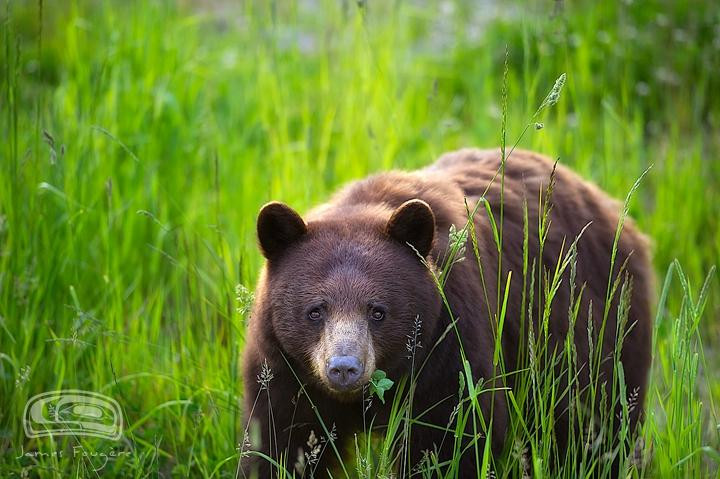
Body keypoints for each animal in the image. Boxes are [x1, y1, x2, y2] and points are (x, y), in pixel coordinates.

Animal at [240, 148, 652, 478]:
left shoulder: (448, 346)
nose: (344, 368)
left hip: (597, 330)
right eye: (315, 311)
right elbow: (281, 442)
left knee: (598, 425)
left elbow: (450, 438)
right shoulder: (285, 370)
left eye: (378, 311)